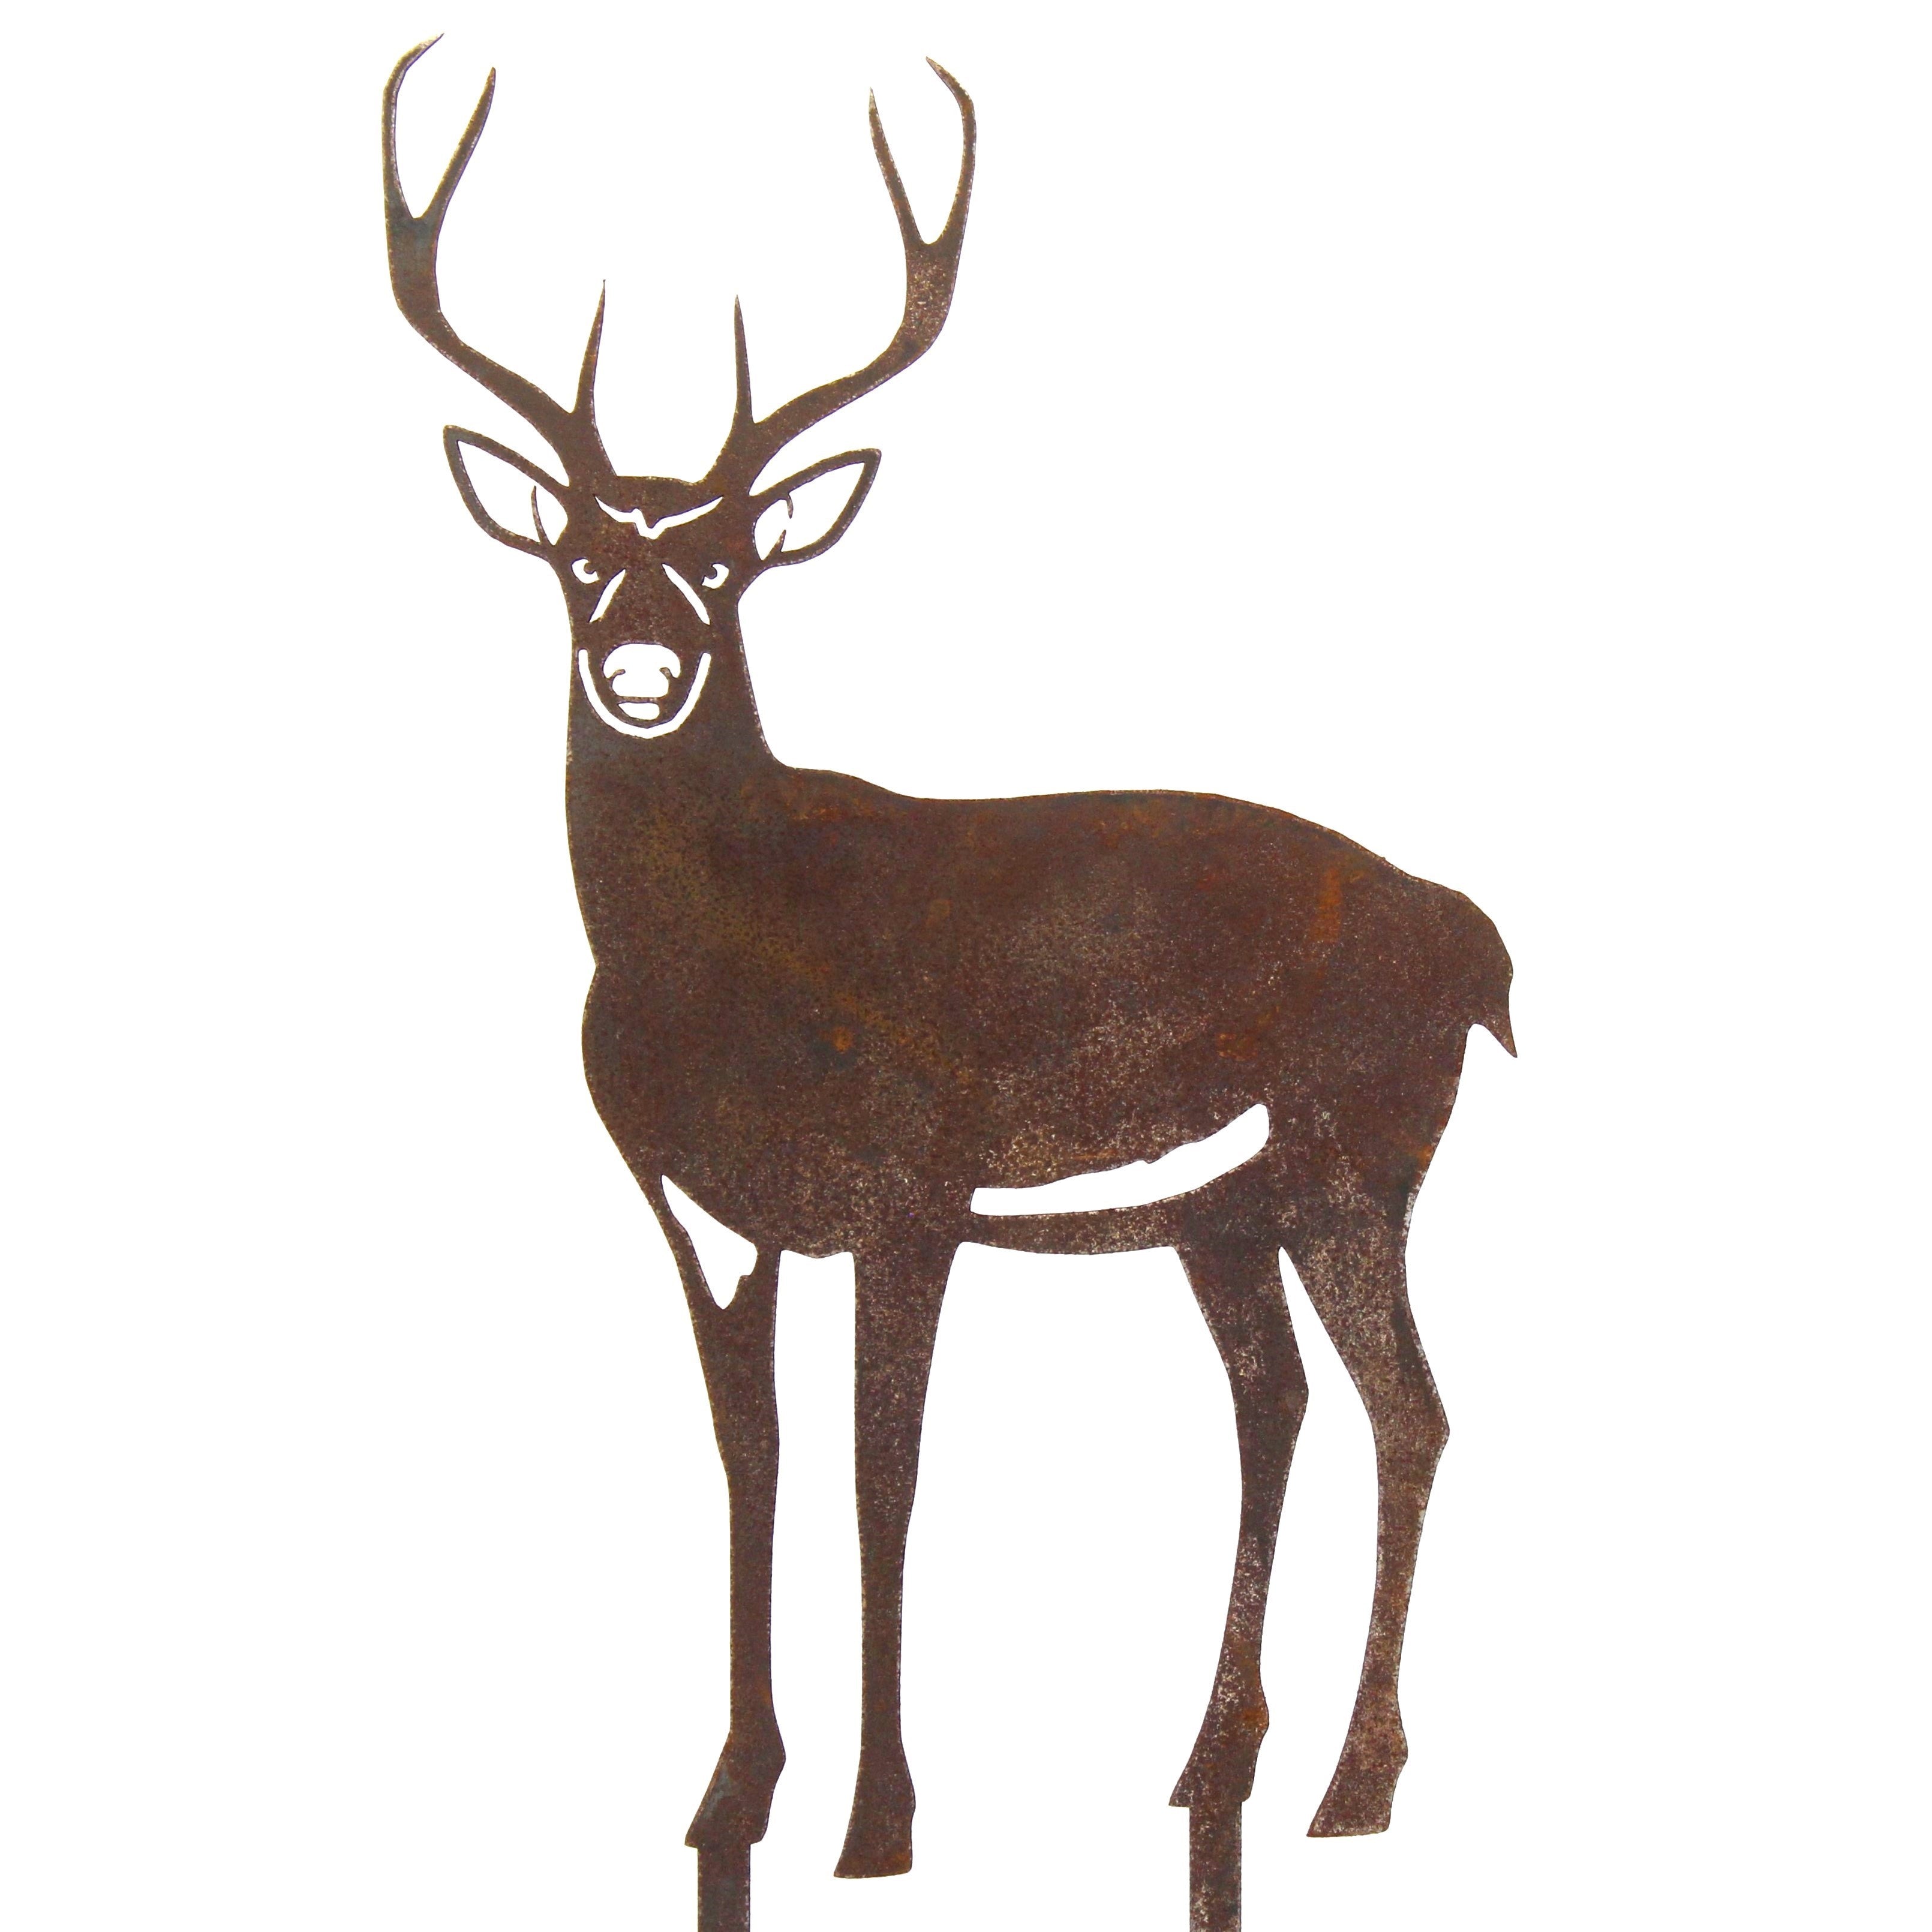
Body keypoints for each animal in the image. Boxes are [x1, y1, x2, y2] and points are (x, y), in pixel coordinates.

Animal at [384, 39, 1513, 1932]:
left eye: (724, 557)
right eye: (578, 554)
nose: (638, 666)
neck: (725, 970)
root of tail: (1474, 936)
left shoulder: (908, 1192)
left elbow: (879, 1473)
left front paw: (879, 1824)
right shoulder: (706, 1215)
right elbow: (751, 1461)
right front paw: (725, 1797)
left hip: (1363, 1158)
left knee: (1412, 1410)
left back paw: (1351, 1790)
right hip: (1224, 1207)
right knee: (1278, 1399)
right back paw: (1208, 1760)